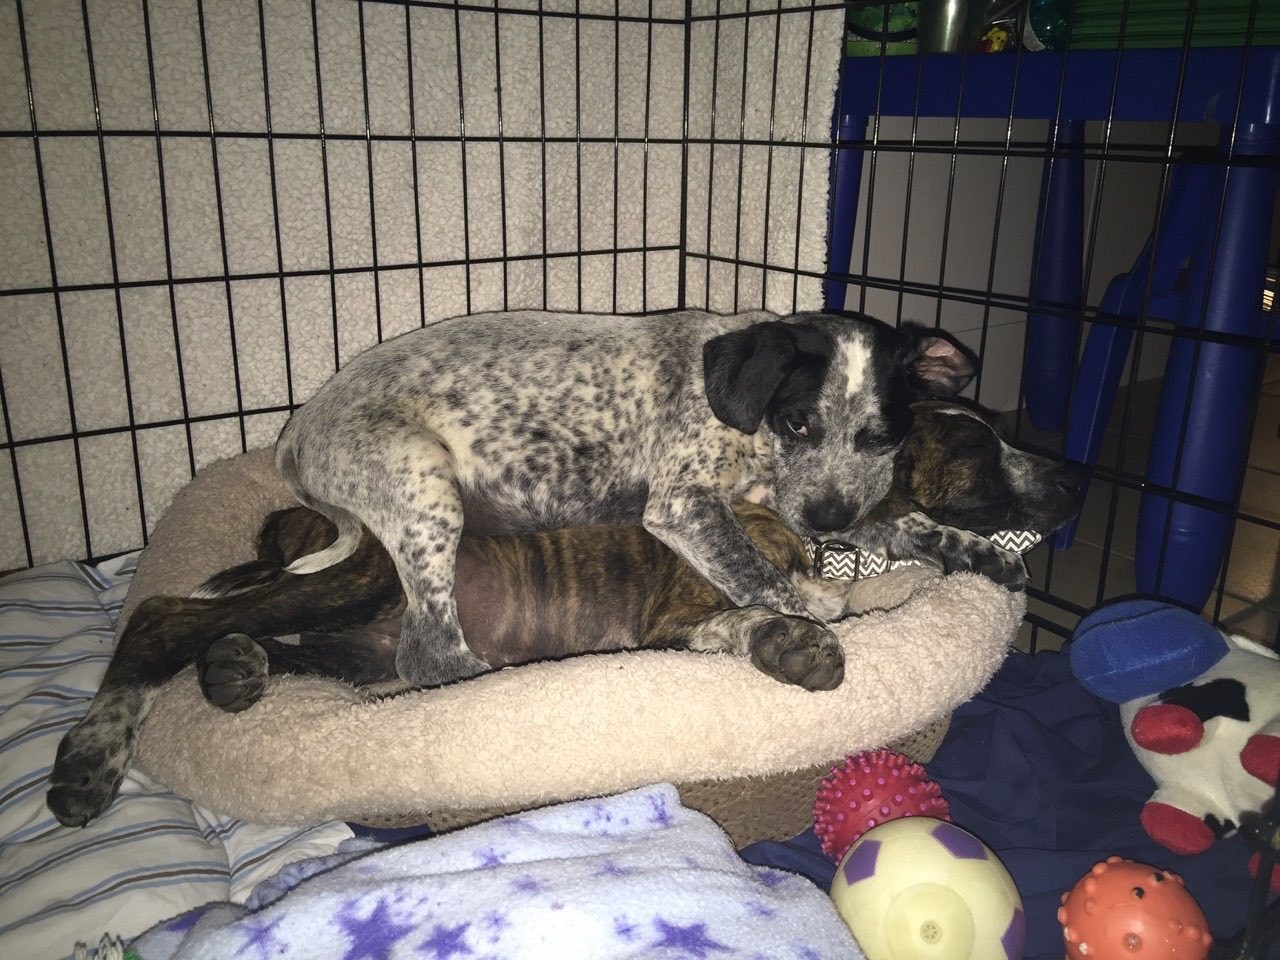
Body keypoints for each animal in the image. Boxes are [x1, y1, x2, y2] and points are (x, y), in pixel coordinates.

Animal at [47, 401, 1085, 827]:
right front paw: (796, 641)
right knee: (162, 617)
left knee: (262, 639)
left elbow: (906, 540)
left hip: (359, 647)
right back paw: (93, 757)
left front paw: (977, 558)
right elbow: (748, 616)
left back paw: (236, 671)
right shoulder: (676, 612)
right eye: (978, 454)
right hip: (366, 575)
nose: (1070, 479)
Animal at [272, 309, 993, 693]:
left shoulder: (800, 499)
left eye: (883, 437)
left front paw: (977, 549)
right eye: (797, 424)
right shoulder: (685, 506)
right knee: (432, 656)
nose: (827, 522)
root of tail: (298, 430)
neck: (753, 435)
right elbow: (767, 582)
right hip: (425, 493)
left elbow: (903, 523)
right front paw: (805, 620)